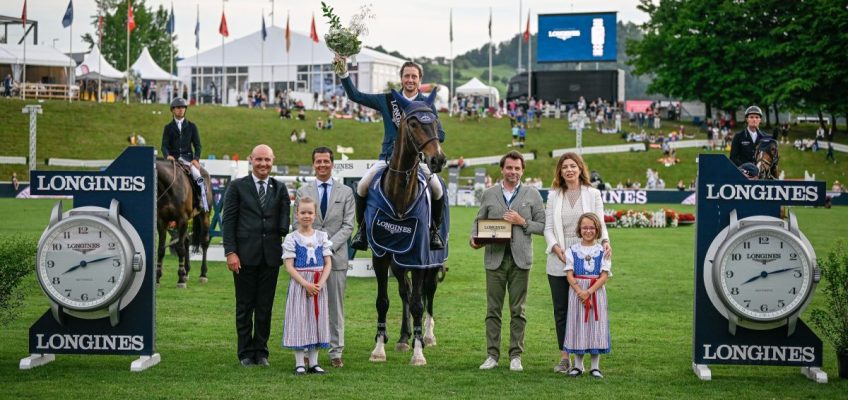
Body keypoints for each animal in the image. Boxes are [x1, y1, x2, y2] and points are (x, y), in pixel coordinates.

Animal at [157, 159, 214, 288]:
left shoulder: (182, 219)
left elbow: (180, 248)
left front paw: (180, 280)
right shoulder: (162, 221)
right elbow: (161, 249)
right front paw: (157, 278)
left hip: (205, 216)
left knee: (204, 242)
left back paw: (203, 274)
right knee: (187, 241)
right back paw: (186, 272)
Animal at [372, 90, 450, 366]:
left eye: (435, 122)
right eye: (413, 123)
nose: (438, 159)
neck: (400, 197)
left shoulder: (418, 258)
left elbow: (419, 303)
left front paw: (418, 354)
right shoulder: (381, 256)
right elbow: (383, 301)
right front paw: (379, 348)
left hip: (432, 261)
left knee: (428, 292)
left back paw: (426, 336)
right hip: (399, 262)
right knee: (405, 292)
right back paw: (404, 337)